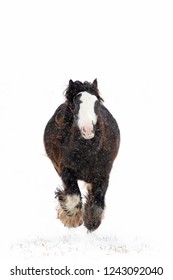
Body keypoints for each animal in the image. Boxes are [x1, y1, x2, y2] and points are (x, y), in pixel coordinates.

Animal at [43, 79, 119, 232]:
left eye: (96, 103)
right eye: (74, 106)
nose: (87, 130)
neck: (87, 154)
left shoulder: (103, 174)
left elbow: (97, 204)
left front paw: (91, 222)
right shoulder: (65, 170)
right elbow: (74, 197)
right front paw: (71, 218)